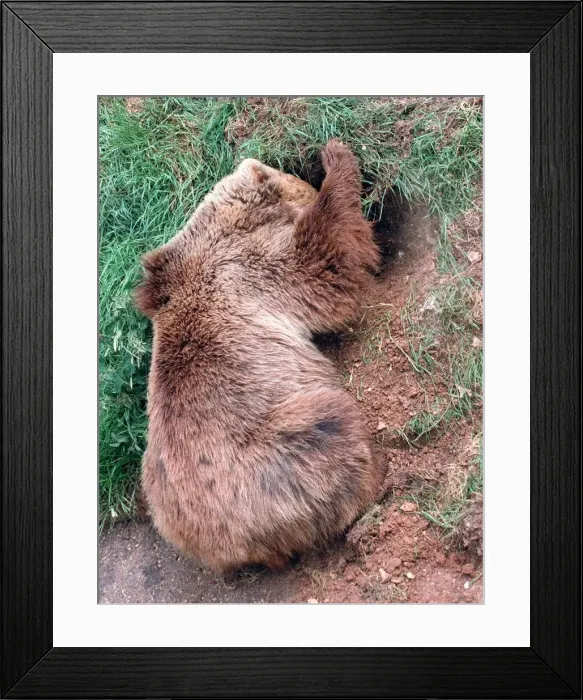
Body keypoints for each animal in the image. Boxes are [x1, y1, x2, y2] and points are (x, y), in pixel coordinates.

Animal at [135, 139, 385, 574]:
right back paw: (375, 480)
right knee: (331, 427)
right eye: (302, 179)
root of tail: (226, 545)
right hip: (277, 455)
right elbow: (323, 266)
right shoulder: (250, 268)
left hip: (156, 482)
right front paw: (337, 157)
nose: (309, 179)